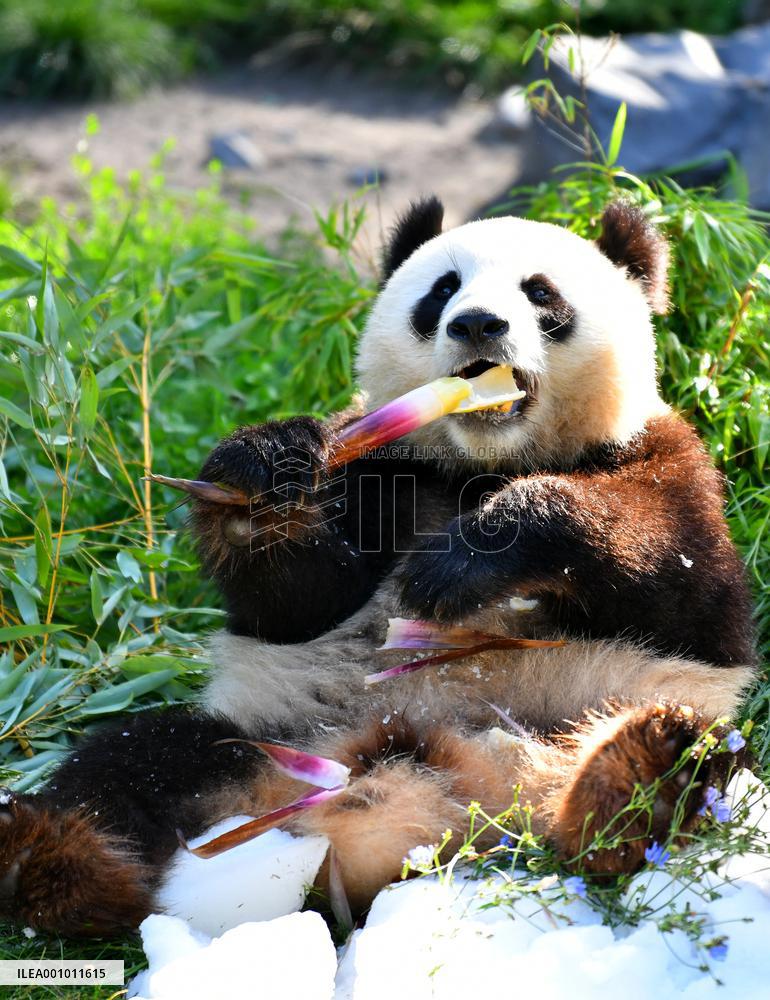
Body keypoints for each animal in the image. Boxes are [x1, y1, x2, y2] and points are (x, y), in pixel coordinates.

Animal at [0, 198, 757, 936]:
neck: (480, 463)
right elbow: (298, 603)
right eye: (442, 290)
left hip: (610, 711)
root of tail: (443, 797)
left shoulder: (661, 458)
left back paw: (629, 779)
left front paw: (461, 562)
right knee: (129, 763)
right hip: (268, 739)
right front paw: (260, 474)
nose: (477, 324)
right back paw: (52, 863)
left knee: (685, 760)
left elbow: (676, 578)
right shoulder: (379, 468)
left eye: (541, 293)